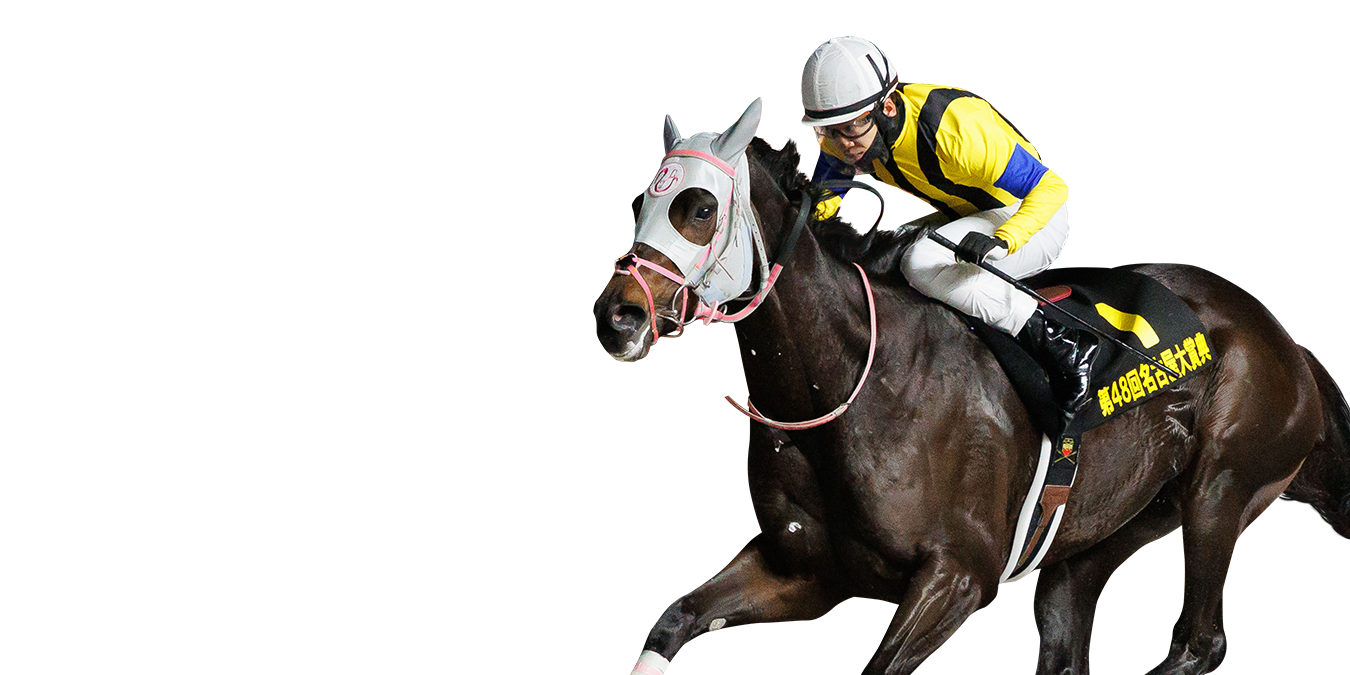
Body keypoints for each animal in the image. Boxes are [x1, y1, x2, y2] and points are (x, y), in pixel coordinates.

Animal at [593, 102, 1350, 675]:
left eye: (697, 207)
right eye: (642, 198)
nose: (619, 316)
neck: (844, 387)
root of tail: (1281, 339)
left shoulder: (958, 574)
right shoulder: (801, 566)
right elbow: (675, 620)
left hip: (1221, 485)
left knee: (1198, 641)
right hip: (1098, 535)